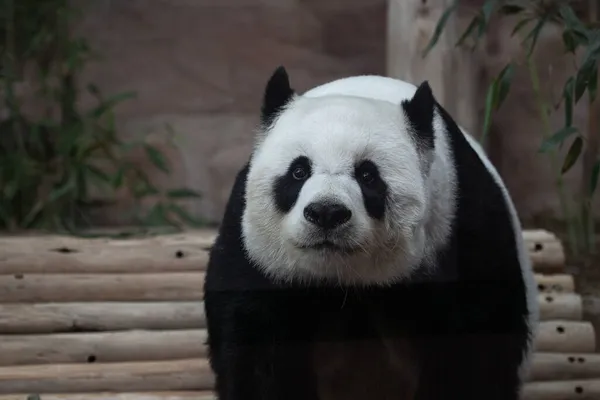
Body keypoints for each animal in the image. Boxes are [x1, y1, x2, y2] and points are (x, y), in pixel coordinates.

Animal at [203, 66, 540, 400]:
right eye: (299, 171)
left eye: (367, 175)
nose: (327, 213)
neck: (346, 280)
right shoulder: (254, 254)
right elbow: (256, 349)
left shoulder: (458, 233)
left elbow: (475, 347)